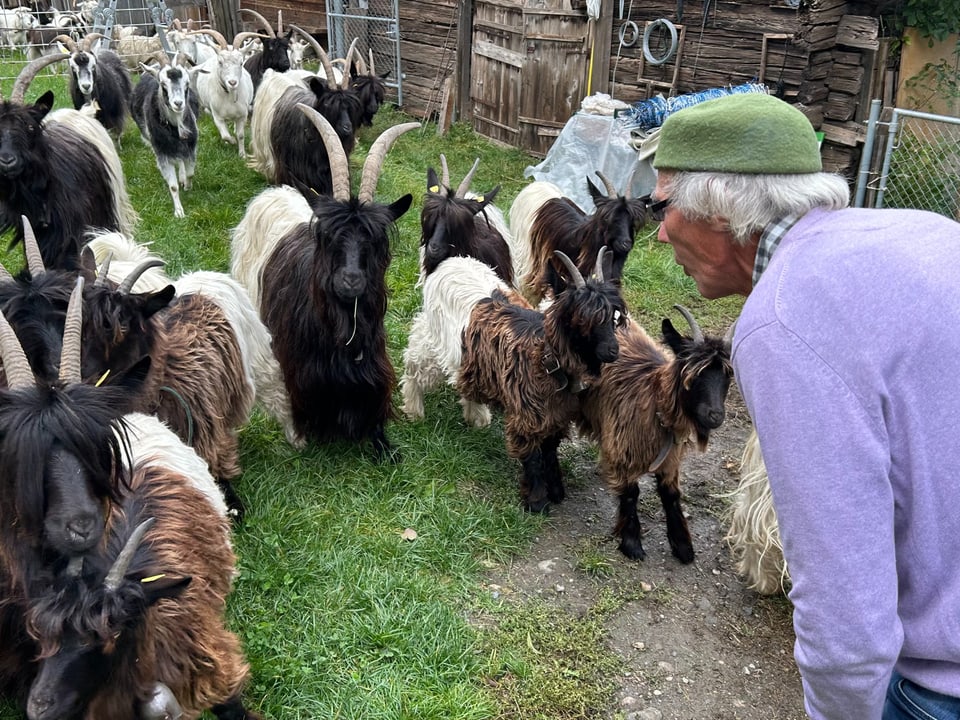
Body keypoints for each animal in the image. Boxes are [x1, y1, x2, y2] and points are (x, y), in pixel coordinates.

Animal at [130, 57, 200, 217]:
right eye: (163, 84)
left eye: (187, 83)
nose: (178, 103)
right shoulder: (163, 152)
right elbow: (173, 186)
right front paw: (179, 212)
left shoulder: (190, 148)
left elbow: (190, 173)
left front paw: (187, 185)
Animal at [189, 29, 256, 158]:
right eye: (220, 62)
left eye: (241, 63)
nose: (232, 82)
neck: (229, 95)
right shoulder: (217, 117)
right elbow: (225, 135)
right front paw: (232, 141)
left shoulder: (242, 115)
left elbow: (241, 135)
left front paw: (242, 155)